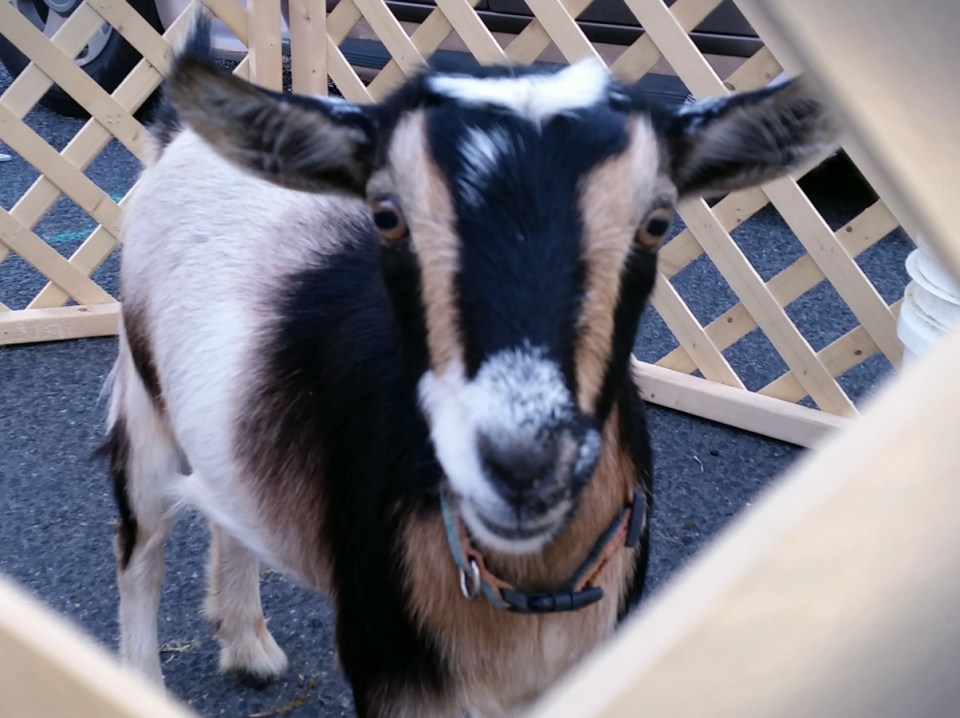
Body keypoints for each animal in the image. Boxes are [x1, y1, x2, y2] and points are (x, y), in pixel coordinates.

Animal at [104, 17, 838, 717]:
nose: (522, 465)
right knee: (141, 551)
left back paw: (249, 648)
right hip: (143, 399)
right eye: (386, 215)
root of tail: (178, 137)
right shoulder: (388, 670)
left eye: (657, 222)